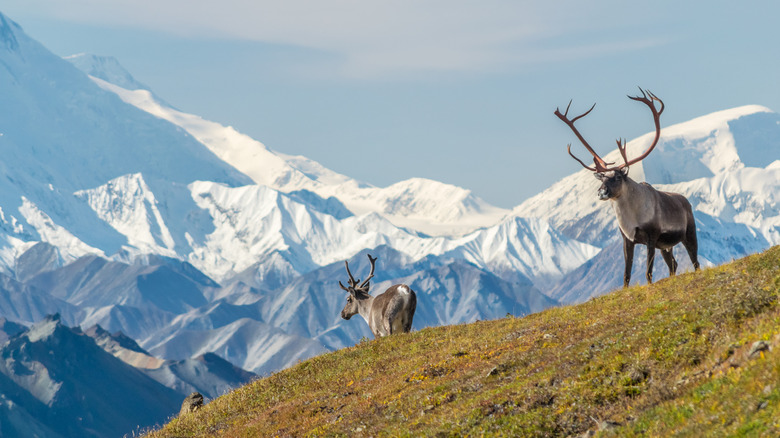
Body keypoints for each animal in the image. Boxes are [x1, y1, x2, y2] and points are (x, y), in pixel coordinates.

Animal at [554, 87, 700, 288]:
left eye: (617, 177)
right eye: (601, 178)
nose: (601, 192)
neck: (631, 218)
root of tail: (686, 201)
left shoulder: (652, 236)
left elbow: (648, 272)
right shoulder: (627, 240)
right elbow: (626, 274)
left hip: (688, 233)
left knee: (695, 261)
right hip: (666, 245)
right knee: (673, 264)